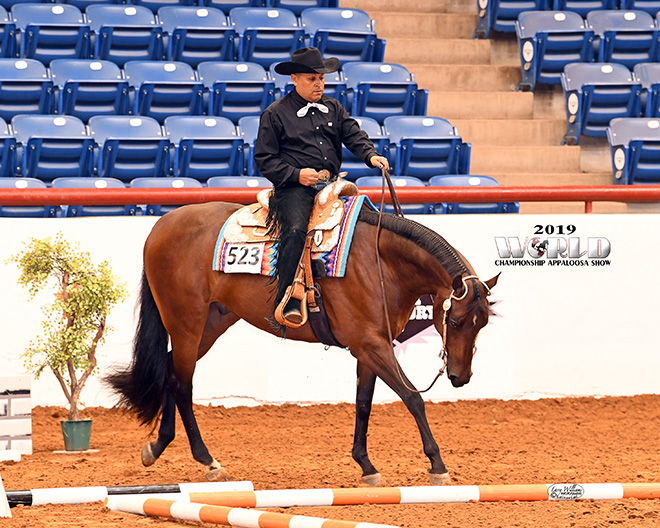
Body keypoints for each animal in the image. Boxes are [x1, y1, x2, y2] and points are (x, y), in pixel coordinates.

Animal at [107, 200, 498, 486]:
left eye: (483, 323)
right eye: (455, 321)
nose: (460, 376)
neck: (380, 262)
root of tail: (161, 226)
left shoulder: (371, 346)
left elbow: (363, 404)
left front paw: (366, 465)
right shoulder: (372, 346)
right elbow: (413, 398)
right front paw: (437, 464)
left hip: (212, 322)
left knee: (171, 371)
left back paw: (158, 445)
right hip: (185, 321)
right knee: (181, 382)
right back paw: (208, 460)